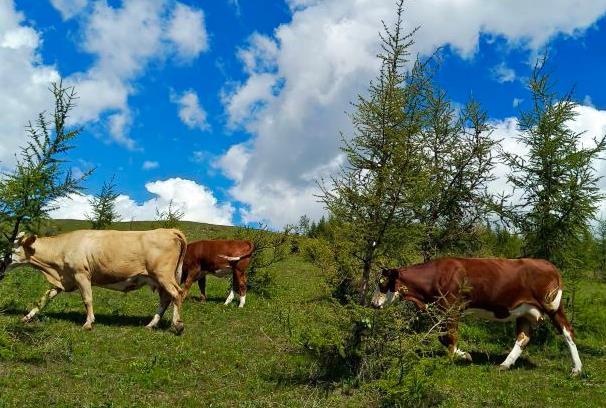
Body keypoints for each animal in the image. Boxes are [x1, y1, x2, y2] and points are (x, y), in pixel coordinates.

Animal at [7, 228, 188, 334]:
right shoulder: (65, 279)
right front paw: (27, 317)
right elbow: (44, 298)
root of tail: (169, 230)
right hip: (158, 278)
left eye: (10, 252)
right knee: (165, 299)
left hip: (163, 274)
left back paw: (177, 325)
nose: (2, 262)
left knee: (177, 294)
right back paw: (151, 324)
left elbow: (87, 299)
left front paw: (88, 323)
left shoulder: (81, 274)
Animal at [370, 256, 584, 374]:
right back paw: (504, 364)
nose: (372, 303)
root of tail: (548, 264)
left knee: (567, 331)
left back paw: (577, 369)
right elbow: (442, 337)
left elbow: (450, 336)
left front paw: (459, 356)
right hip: (525, 311)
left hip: (552, 306)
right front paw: (460, 354)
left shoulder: (452, 307)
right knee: (523, 338)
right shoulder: (442, 310)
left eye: (382, 284)